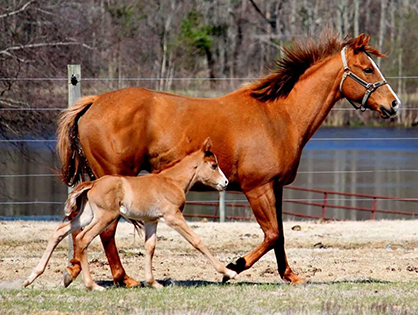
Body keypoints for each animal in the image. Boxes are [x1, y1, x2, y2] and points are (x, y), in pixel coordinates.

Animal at [24, 139, 235, 292]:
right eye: (214, 165)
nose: (225, 183)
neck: (171, 181)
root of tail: (93, 183)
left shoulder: (151, 221)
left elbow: (150, 247)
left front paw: (153, 283)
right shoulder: (173, 217)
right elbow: (197, 241)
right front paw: (228, 272)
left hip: (86, 215)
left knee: (59, 232)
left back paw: (31, 277)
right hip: (105, 217)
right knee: (83, 238)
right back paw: (93, 285)